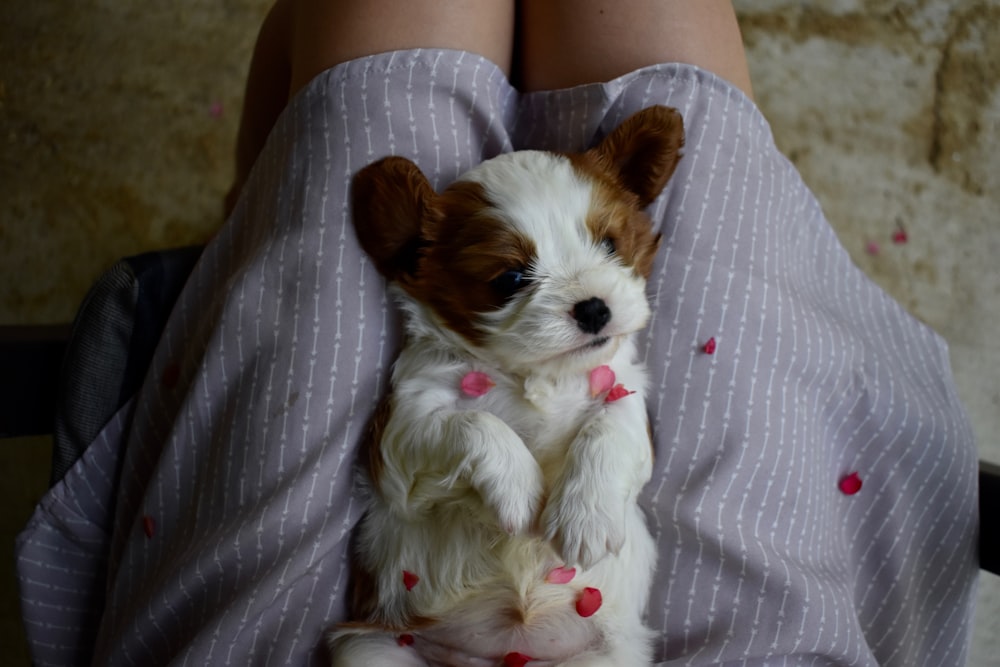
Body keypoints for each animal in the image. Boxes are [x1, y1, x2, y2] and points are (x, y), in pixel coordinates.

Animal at [332, 107, 684, 664]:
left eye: (610, 244)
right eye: (511, 279)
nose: (594, 308)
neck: (535, 373)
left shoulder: (625, 393)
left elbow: (609, 428)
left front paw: (585, 515)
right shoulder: (399, 432)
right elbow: (471, 422)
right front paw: (521, 489)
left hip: (609, 656)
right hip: (372, 646)